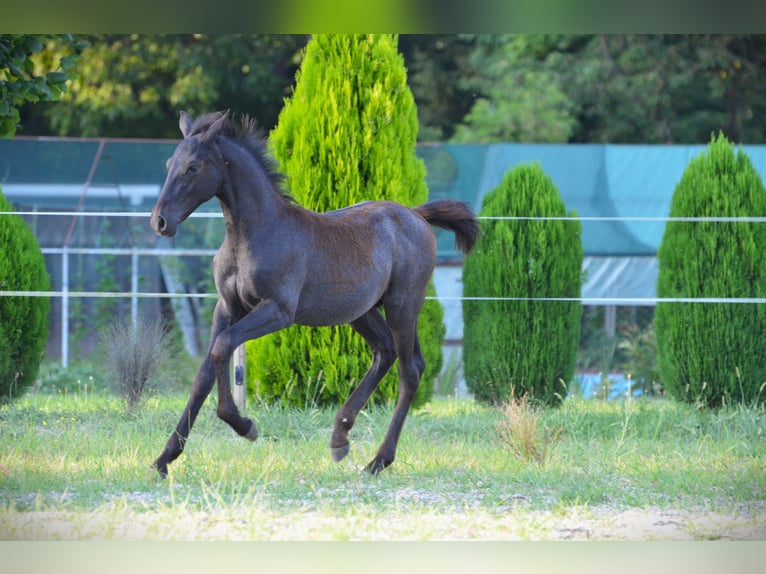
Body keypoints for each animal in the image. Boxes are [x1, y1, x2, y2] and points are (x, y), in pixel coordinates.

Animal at [150, 110, 480, 480]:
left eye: (193, 167)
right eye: (169, 164)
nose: (160, 221)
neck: (252, 234)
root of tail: (417, 215)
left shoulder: (278, 310)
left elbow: (223, 348)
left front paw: (244, 425)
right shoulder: (228, 308)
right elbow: (204, 374)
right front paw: (164, 459)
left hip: (402, 305)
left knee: (410, 370)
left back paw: (378, 461)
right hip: (363, 312)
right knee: (386, 351)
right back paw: (340, 437)